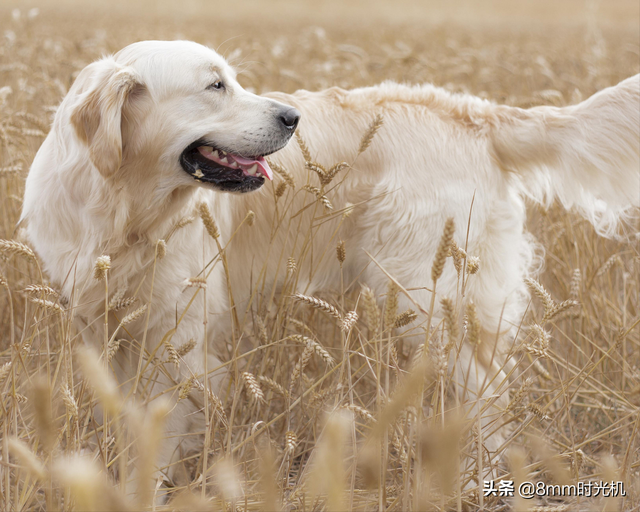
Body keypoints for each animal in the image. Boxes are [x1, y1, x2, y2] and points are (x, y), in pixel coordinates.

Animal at [21, 40, 640, 492]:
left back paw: (475, 480)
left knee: (488, 397)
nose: (291, 116)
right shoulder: (100, 327)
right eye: (215, 86)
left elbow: (158, 429)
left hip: (427, 299)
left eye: (232, 80)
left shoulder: (176, 339)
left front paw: (144, 490)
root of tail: (475, 114)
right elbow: (120, 418)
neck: (121, 209)